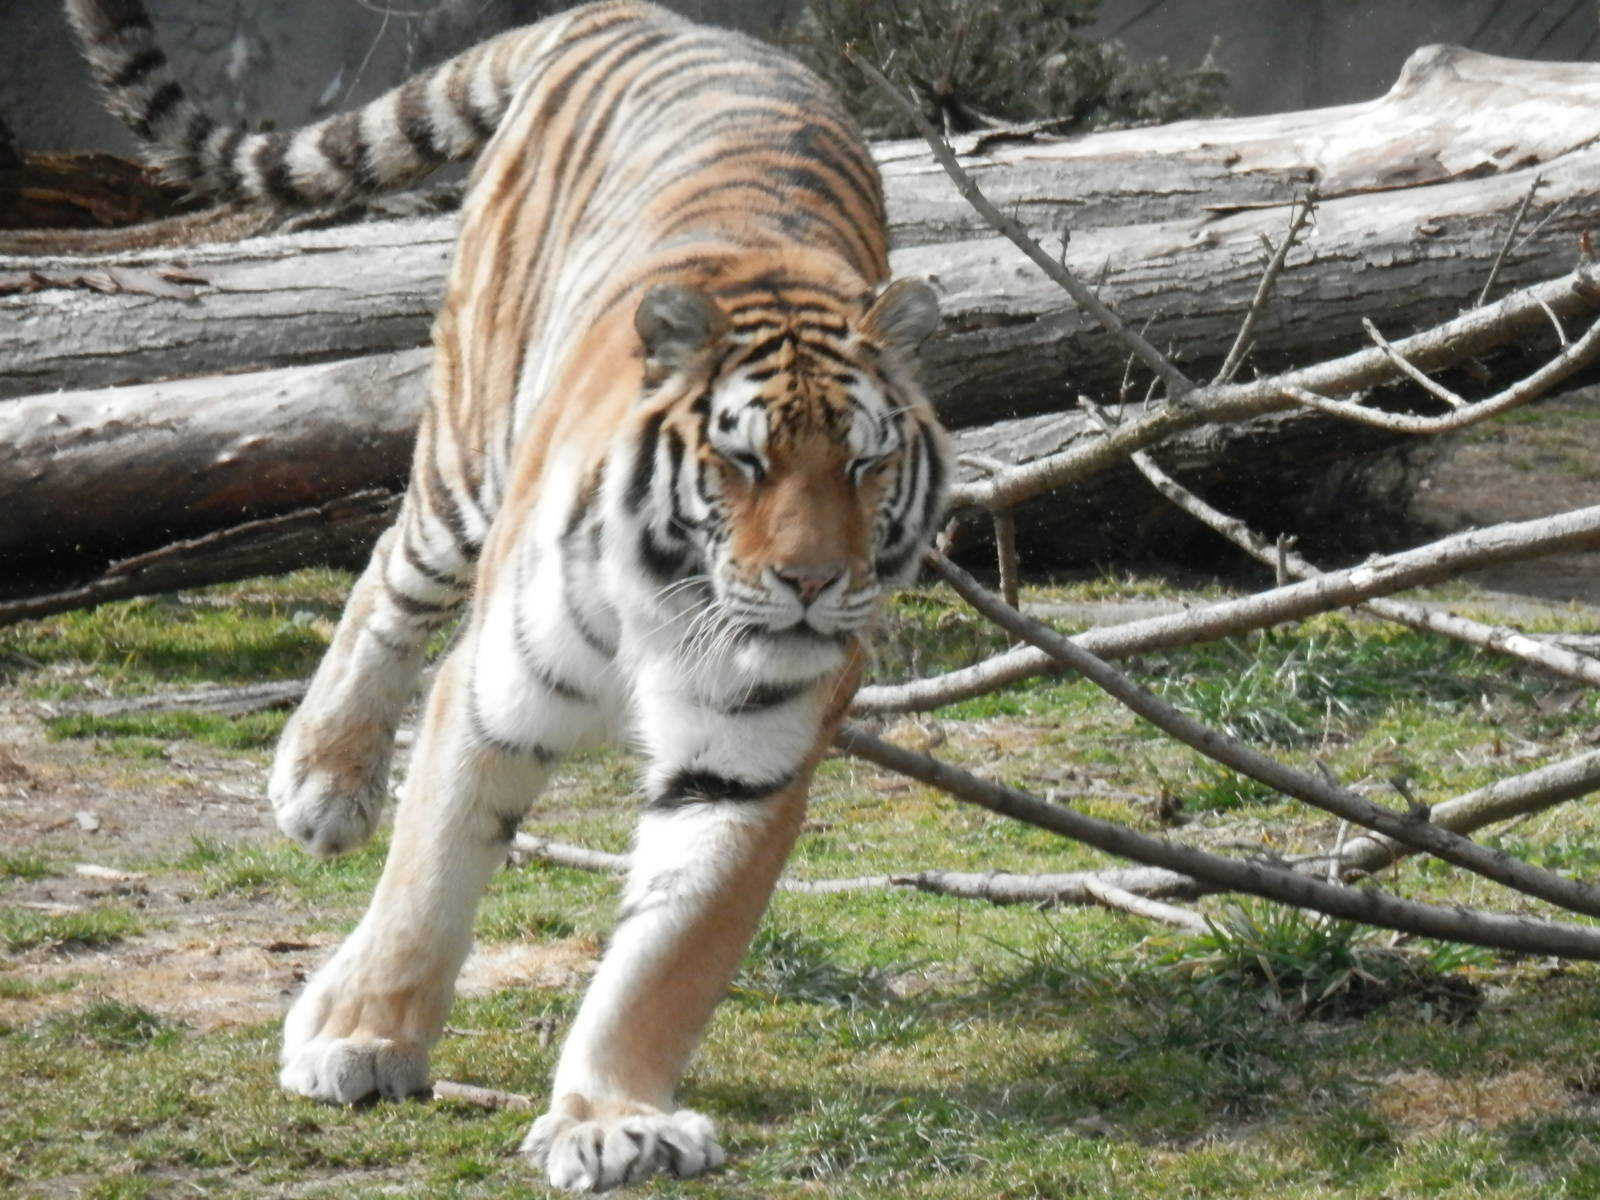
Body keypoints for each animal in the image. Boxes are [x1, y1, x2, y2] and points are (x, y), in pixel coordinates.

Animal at [67, 0, 951, 1189]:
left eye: (864, 464)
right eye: (743, 461)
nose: (811, 585)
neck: (678, 607)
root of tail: (642, 15)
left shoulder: (743, 762)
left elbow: (668, 953)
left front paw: (611, 1120)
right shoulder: (491, 693)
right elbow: (428, 880)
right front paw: (362, 1041)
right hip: (464, 453)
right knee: (382, 577)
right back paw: (323, 781)